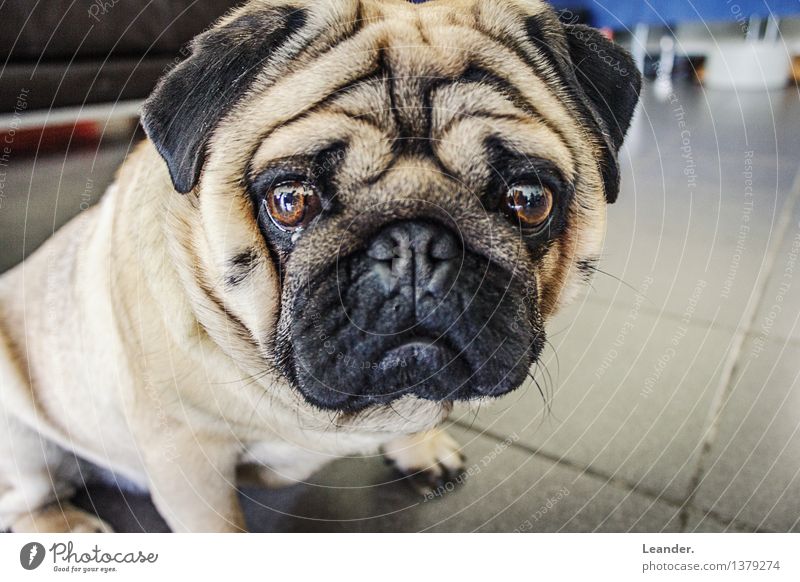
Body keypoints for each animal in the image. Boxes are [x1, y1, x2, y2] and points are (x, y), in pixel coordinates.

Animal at [0, 0, 640, 532]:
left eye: (529, 200)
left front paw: (422, 443)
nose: (415, 245)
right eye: (291, 200)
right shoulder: (188, 461)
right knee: (27, 498)